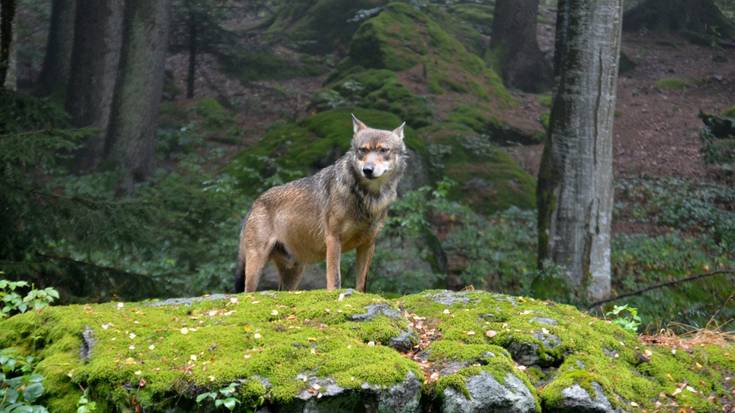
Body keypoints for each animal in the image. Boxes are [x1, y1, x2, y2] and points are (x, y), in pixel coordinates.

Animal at [234, 114, 408, 292]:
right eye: (363, 150)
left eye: (383, 150)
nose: (367, 169)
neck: (367, 197)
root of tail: (255, 203)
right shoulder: (333, 239)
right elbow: (335, 279)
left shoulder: (368, 244)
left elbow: (361, 284)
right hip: (256, 265)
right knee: (247, 292)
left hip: (294, 273)